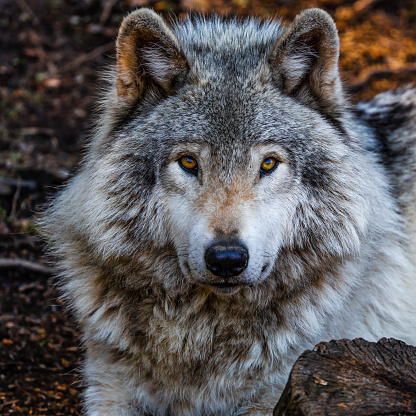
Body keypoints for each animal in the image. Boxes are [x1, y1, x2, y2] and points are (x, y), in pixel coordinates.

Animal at [41, 6, 416, 416]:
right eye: (188, 162)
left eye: (268, 164)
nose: (226, 259)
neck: (202, 333)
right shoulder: (109, 386)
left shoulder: (281, 386)